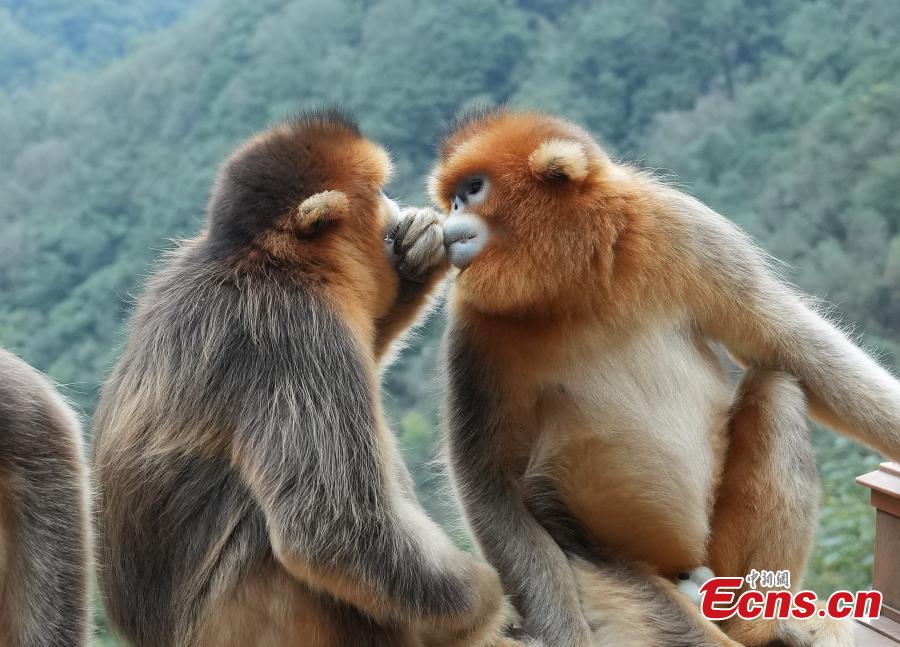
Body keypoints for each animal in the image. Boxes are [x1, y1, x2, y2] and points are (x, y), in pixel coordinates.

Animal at [94, 110, 516, 647]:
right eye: (378, 193)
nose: (392, 207)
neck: (258, 261)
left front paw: (416, 257)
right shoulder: (295, 332)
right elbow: (331, 529)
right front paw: (488, 602)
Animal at [430, 109, 900, 644]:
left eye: (472, 189)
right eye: (453, 197)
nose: (450, 216)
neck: (574, 280)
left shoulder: (682, 227)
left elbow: (788, 343)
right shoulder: (473, 327)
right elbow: (491, 484)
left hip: (718, 553)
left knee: (777, 389)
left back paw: (759, 622)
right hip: (607, 565)